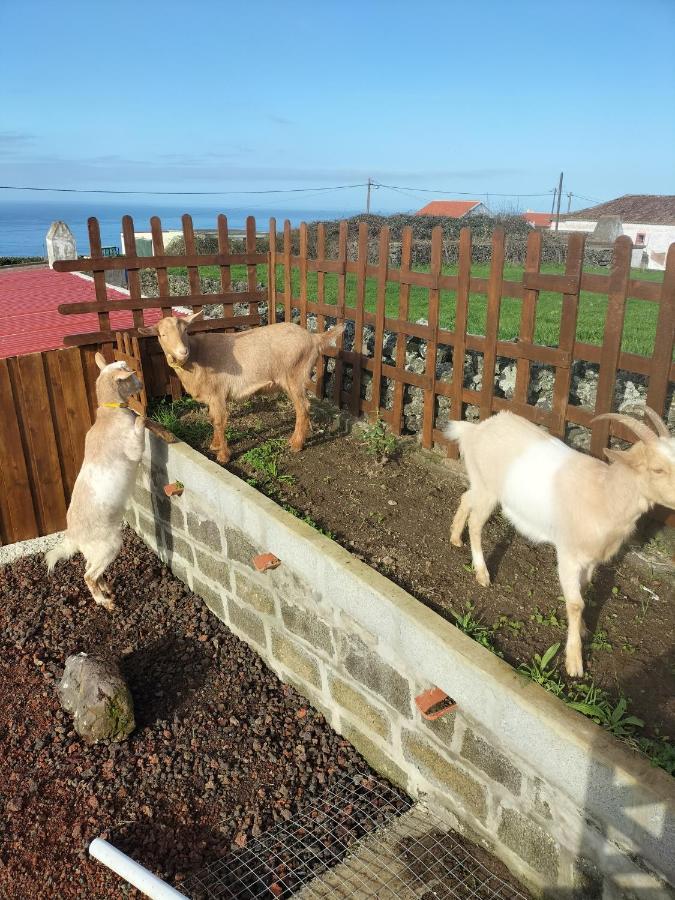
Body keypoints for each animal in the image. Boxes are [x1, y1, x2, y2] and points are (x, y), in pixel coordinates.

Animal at [45, 352, 147, 612]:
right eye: (131, 376)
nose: (141, 384)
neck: (110, 413)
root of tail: (73, 534)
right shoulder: (133, 448)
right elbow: (139, 428)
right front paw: (143, 416)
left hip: (96, 552)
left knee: (90, 569)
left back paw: (106, 588)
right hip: (109, 545)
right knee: (87, 576)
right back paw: (104, 601)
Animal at [141, 312, 346, 464]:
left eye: (185, 330)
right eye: (162, 334)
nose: (183, 351)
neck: (197, 357)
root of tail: (314, 338)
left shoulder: (218, 393)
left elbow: (219, 421)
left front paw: (223, 456)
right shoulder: (211, 397)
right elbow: (211, 418)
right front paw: (214, 445)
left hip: (295, 376)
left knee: (303, 407)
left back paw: (296, 444)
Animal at [448, 408, 675, 676]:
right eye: (657, 469)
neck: (604, 495)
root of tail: (476, 430)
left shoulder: (591, 558)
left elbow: (584, 589)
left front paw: (584, 628)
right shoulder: (568, 555)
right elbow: (576, 603)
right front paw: (574, 662)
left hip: (479, 484)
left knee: (466, 497)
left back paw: (455, 538)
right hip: (488, 489)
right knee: (476, 523)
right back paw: (482, 573)